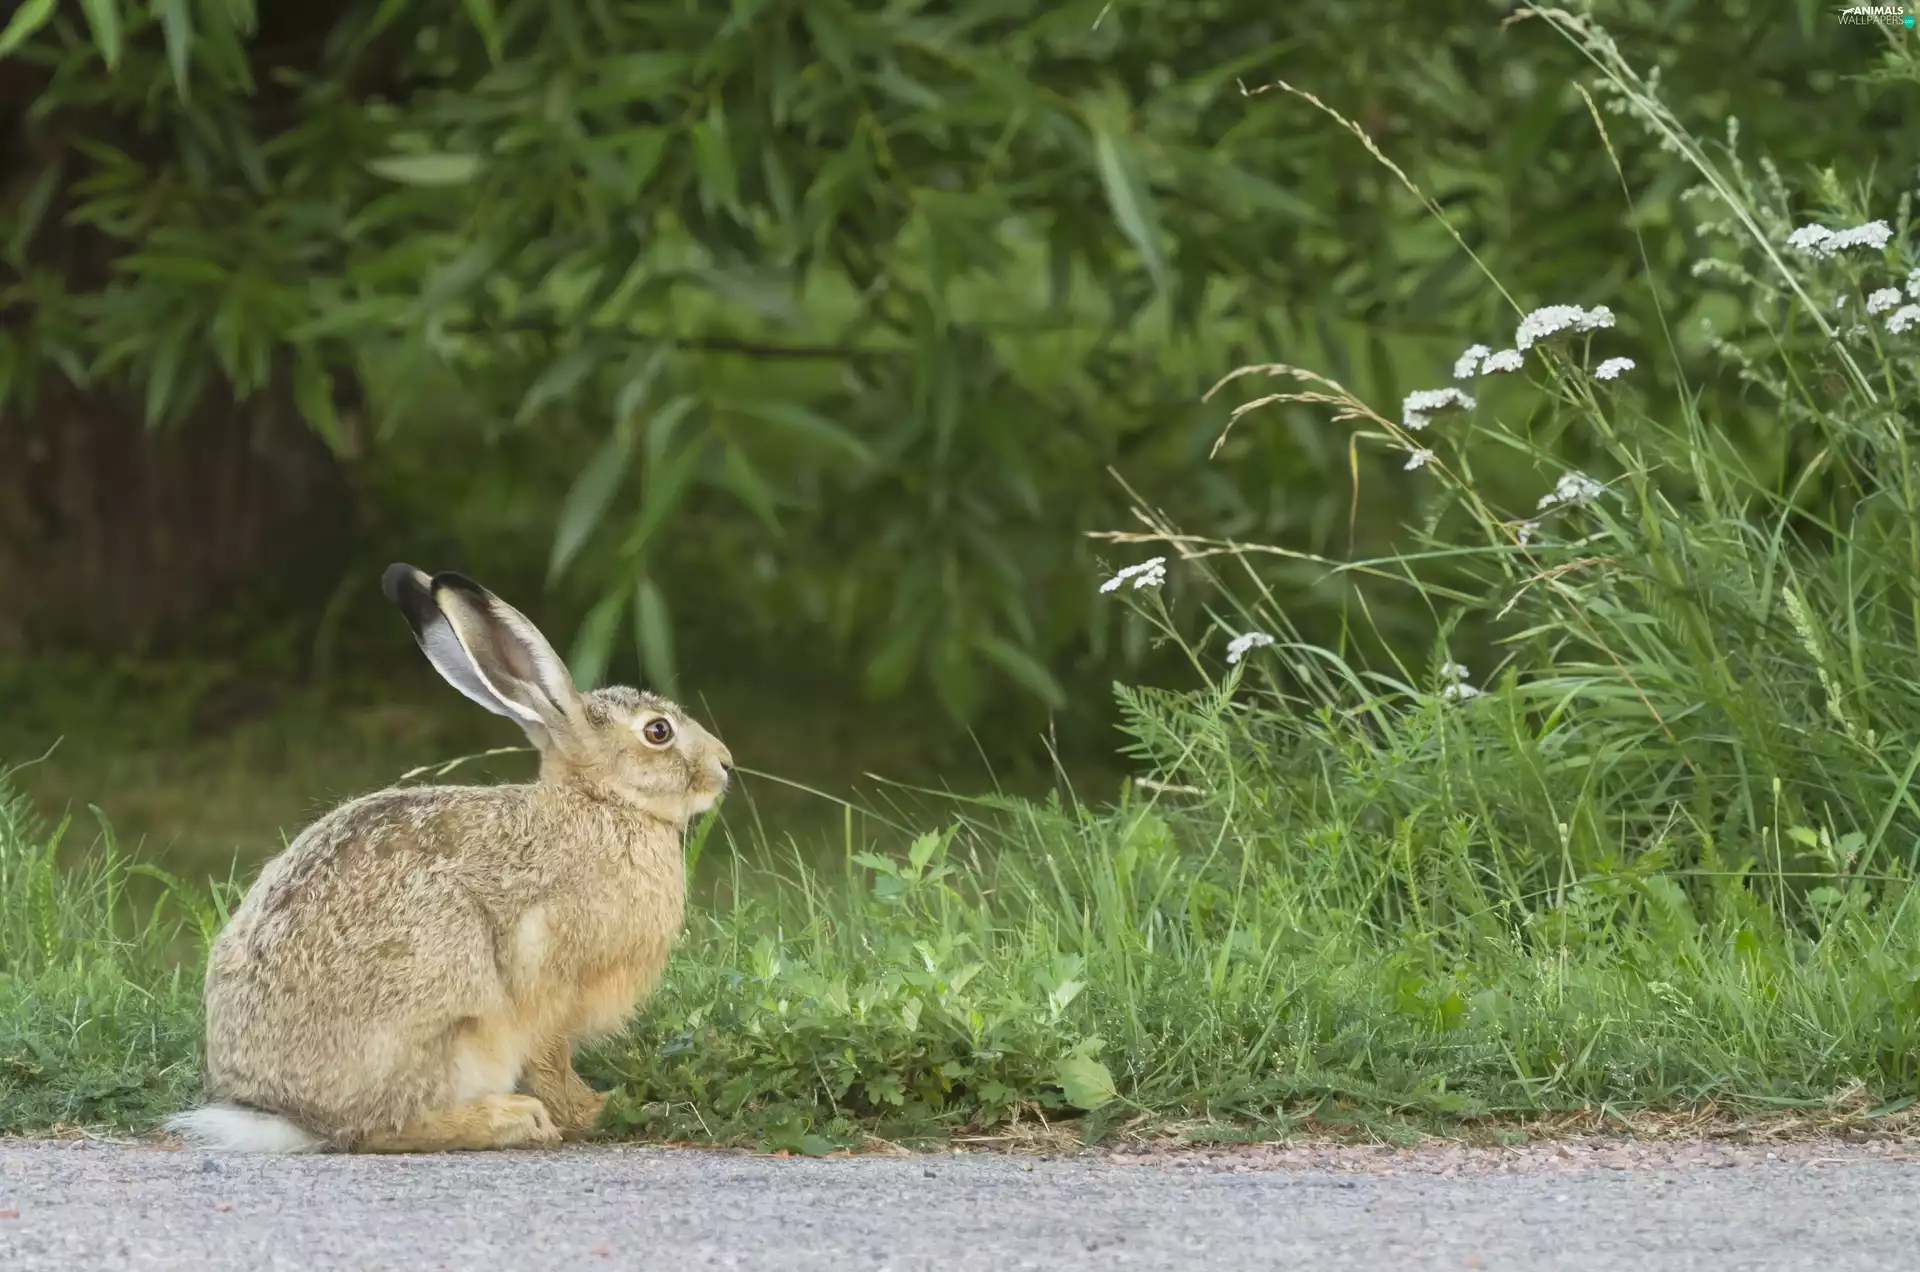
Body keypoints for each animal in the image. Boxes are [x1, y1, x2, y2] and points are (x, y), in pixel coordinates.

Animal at [163, 564, 732, 1153]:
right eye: (658, 732)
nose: (725, 764)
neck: (602, 803)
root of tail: (292, 1115)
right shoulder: (551, 978)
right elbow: (551, 1061)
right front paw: (597, 1110)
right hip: (453, 1018)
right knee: (381, 1129)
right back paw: (511, 1120)